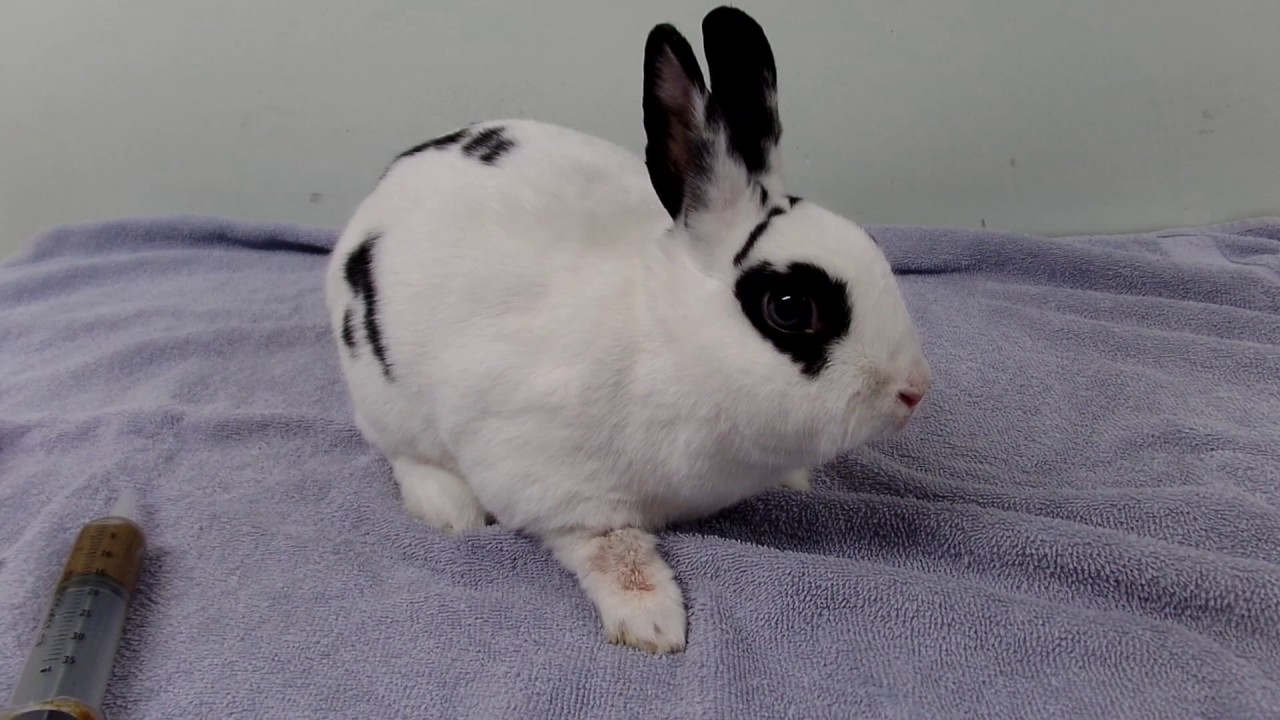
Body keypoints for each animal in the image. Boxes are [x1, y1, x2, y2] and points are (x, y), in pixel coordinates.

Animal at [324, 5, 932, 654]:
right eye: (789, 308)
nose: (914, 390)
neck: (665, 339)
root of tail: (382, 188)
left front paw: (796, 480)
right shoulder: (551, 480)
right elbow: (611, 548)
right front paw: (654, 622)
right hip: (385, 397)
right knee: (400, 450)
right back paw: (449, 508)